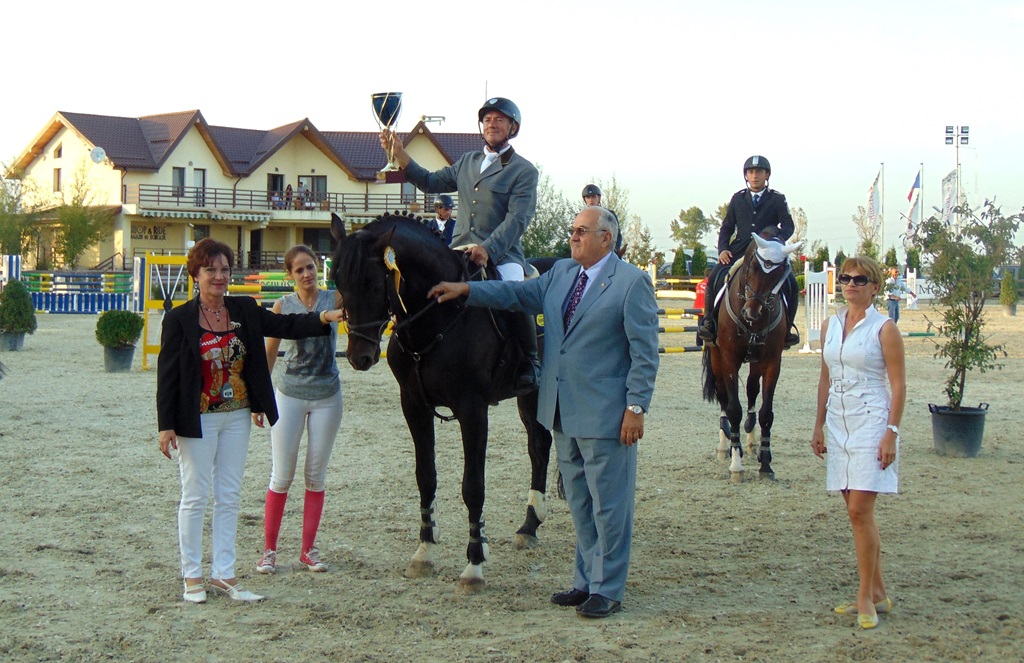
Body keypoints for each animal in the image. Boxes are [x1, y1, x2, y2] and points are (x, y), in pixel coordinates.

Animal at [329, 212, 554, 593]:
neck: (441, 312)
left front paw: (474, 565)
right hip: (529, 396)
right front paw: (424, 553)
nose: (360, 356)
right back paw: (528, 526)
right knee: (538, 446)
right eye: (339, 281)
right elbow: (426, 477)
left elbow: (473, 486)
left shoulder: (473, 409)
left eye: (373, 283)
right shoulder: (413, 406)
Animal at [702, 230, 803, 480]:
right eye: (753, 267)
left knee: (751, 389)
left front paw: (765, 463)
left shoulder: (772, 362)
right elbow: (733, 409)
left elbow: (766, 412)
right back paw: (725, 445)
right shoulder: (729, 360)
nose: (751, 312)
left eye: (779, 273)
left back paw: (750, 437)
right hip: (717, 358)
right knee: (723, 397)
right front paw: (736, 465)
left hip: (755, 362)